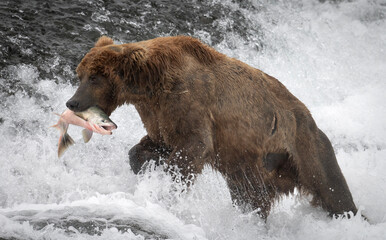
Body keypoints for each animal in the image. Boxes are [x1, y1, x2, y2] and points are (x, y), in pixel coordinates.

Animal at [67, 35, 358, 218]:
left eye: (95, 77)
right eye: (80, 74)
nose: (72, 102)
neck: (150, 83)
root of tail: (311, 117)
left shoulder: (189, 101)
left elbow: (193, 146)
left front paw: (167, 185)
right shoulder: (158, 113)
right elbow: (154, 143)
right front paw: (147, 163)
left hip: (304, 146)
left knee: (332, 188)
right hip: (252, 168)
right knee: (252, 197)